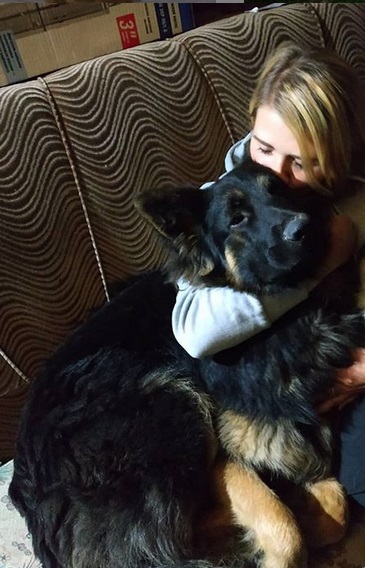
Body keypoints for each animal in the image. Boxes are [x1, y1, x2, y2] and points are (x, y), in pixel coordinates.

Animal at [9, 161, 364, 568]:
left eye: (278, 190)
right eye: (237, 219)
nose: (303, 226)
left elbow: (336, 505)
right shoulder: (225, 460)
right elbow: (285, 528)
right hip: (172, 399)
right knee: (172, 539)